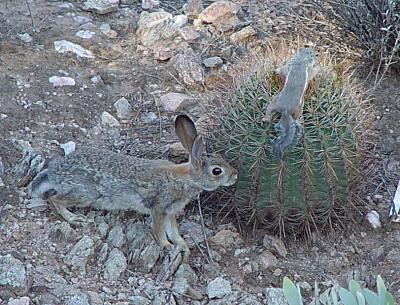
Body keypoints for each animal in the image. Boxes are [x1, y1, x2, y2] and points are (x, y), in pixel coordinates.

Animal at [30, 114, 238, 254]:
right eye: (217, 171)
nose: (235, 175)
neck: (187, 178)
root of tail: (54, 171)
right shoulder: (159, 207)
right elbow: (159, 230)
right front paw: (166, 246)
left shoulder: (171, 211)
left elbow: (173, 230)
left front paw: (182, 246)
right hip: (85, 193)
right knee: (56, 199)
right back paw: (74, 219)